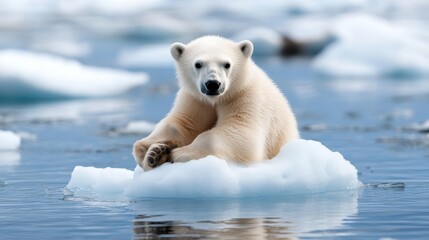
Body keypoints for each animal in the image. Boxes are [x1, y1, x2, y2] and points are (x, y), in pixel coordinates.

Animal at [133, 35, 298, 171]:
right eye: (198, 64)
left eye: (227, 64)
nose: (213, 84)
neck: (218, 99)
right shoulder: (196, 100)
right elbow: (183, 124)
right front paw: (152, 151)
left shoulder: (247, 97)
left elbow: (241, 133)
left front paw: (178, 153)